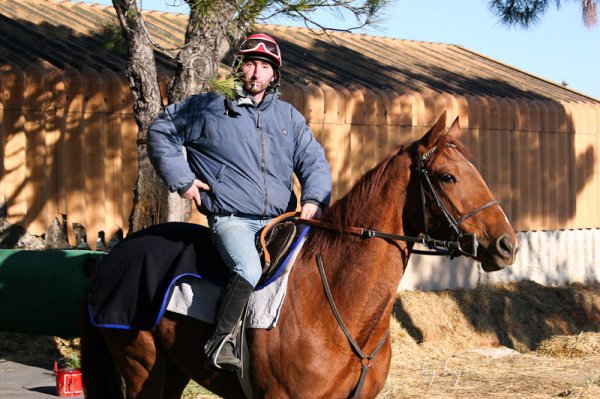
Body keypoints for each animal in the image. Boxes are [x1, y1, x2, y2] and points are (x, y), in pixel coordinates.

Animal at [82, 113, 516, 399]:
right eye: (447, 177)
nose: (506, 245)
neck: (337, 302)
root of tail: (112, 257)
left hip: (171, 371)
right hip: (143, 368)